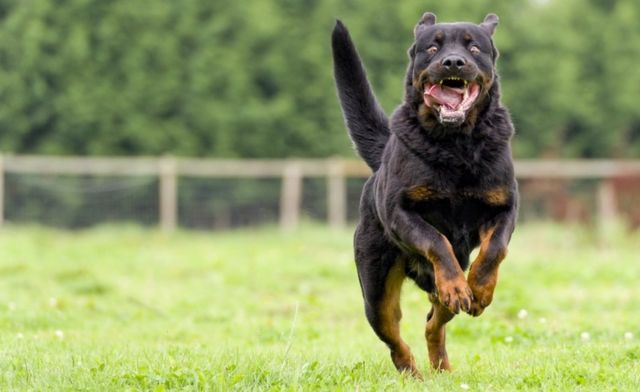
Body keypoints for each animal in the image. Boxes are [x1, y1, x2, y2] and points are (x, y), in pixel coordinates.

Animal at [332, 11, 516, 376]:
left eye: (474, 47)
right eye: (432, 47)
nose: (453, 62)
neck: (456, 143)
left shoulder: (505, 208)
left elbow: (494, 250)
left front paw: (480, 290)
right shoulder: (401, 212)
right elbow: (436, 240)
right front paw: (459, 285)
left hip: (433, 289)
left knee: (434, 322)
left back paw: (442, 363)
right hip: (376, 291)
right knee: (394, 337)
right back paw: (412, 372)